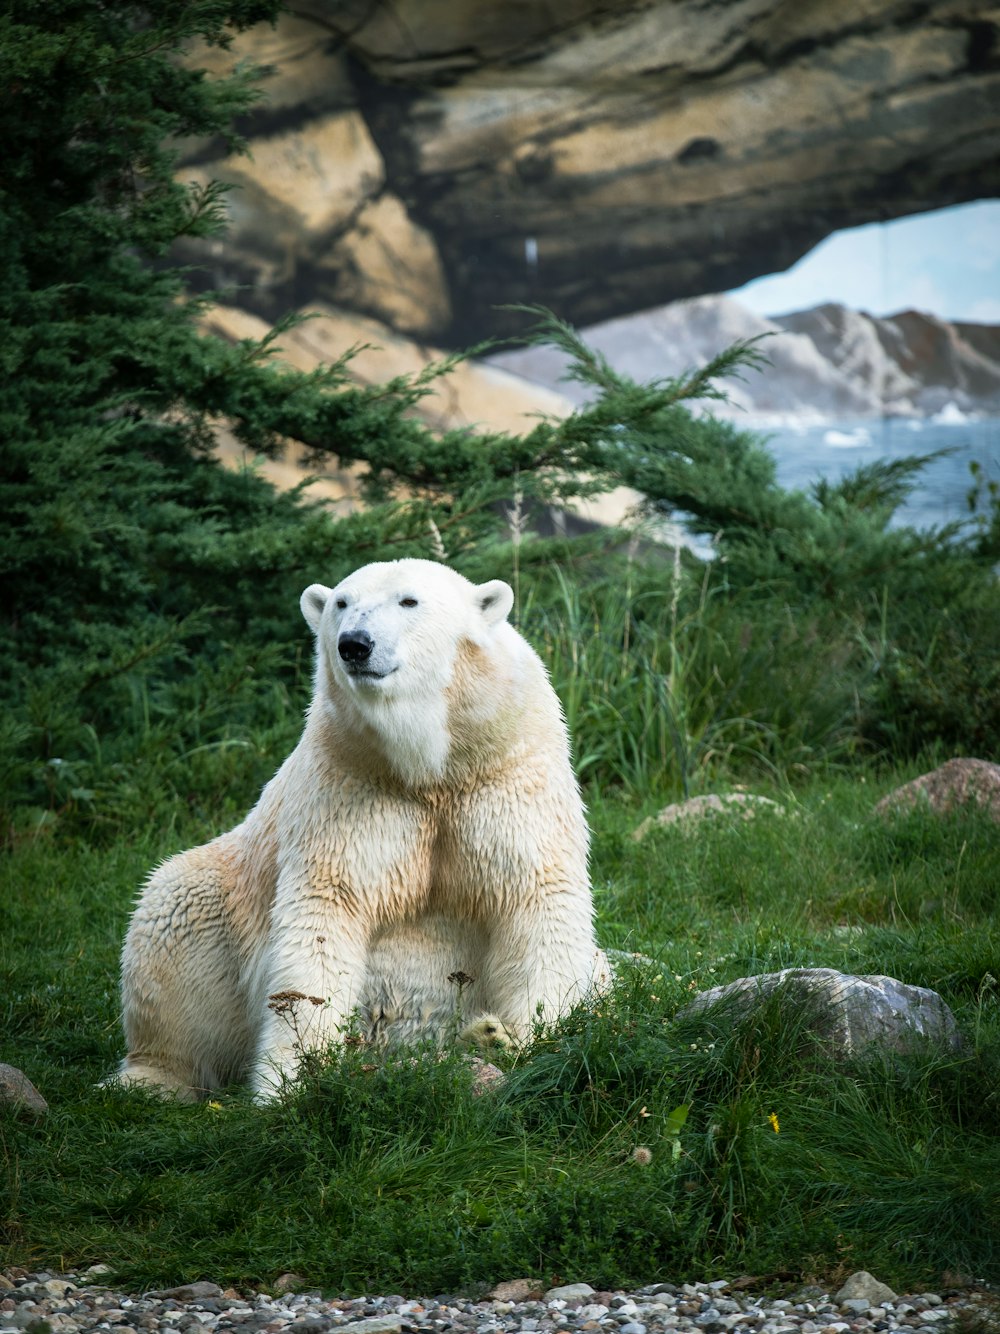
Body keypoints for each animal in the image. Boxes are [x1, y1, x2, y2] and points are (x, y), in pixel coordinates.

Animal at [109, 557, 610, 1099]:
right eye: (341, 603)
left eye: (409, 601)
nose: (355, 644)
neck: (430, 768)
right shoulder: (349, 782)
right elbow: (325, 911)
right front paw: (289, 1082)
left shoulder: (505, 772)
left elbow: (536, 897)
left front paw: (526, 1038)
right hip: (220, 902)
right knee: (172, 925)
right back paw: (152, 1077)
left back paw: (482, 1037)